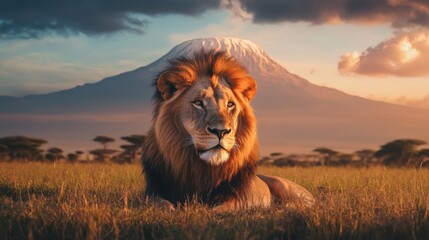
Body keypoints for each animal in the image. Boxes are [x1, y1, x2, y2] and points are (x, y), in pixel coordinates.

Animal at [142, 50, 312, 210]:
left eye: (230, 104)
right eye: (198, 103)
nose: (221, 131)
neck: (203, 170)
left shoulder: (240, 197)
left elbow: (221, 208)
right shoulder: (153, 192)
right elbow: (159, 204)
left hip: (286, 187)